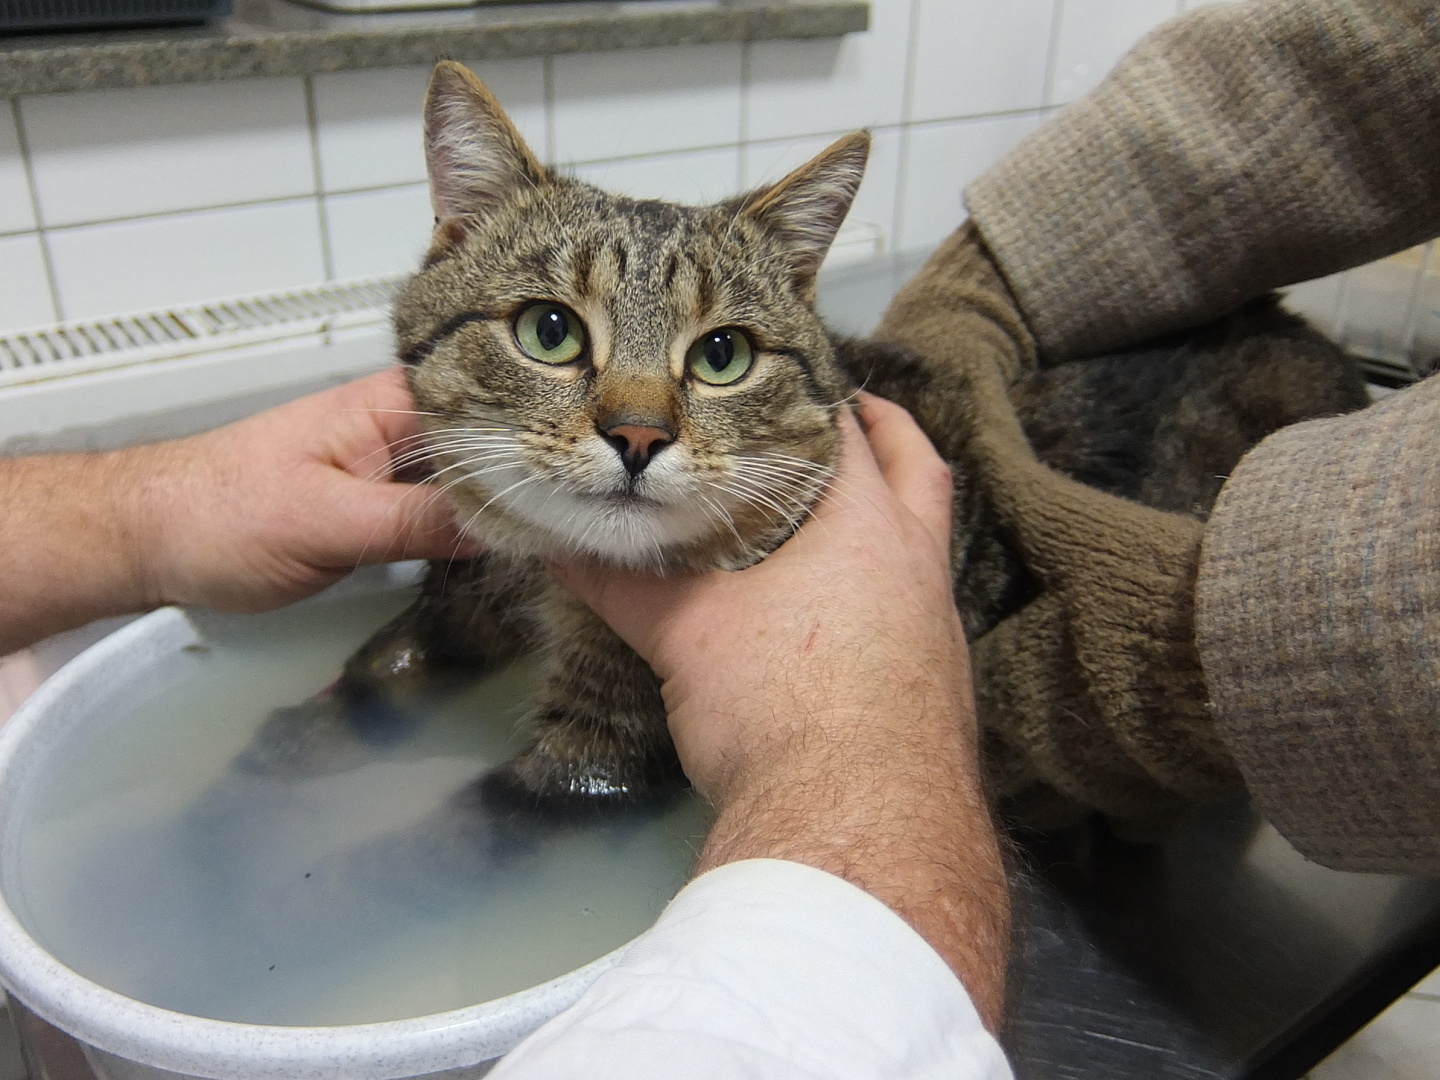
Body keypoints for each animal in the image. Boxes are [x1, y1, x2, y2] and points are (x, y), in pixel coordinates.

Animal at [255, 61, 1368, 820]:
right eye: (550, 331)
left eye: (723, 355)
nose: (636, 434)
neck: (554, 576)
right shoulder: (466, 589)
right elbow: (374, 679)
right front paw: (253, 789)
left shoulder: (594, 757)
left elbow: (430, 856)